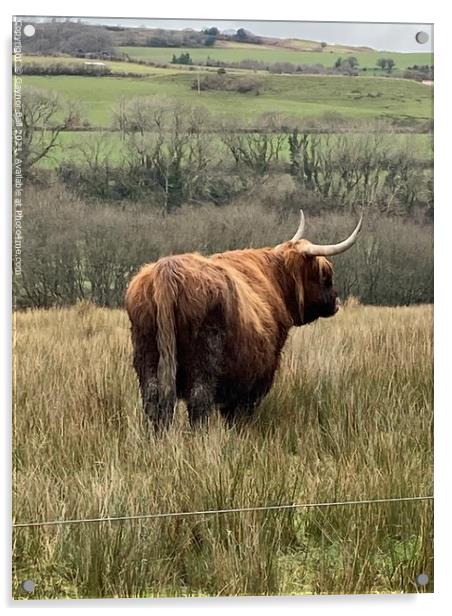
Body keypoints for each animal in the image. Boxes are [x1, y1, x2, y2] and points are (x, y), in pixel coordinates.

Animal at [125, 212, 362, 428]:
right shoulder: (256, 379)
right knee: (199, 401)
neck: (275, 279)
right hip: (205, 359)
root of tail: (167, 270)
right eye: (326, 275)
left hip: (147, 354)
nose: (336, 301)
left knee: (153, 401)